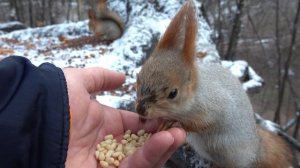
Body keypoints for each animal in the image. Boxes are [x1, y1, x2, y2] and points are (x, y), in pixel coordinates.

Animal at [136, 0, 298, 167]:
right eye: (138, 77)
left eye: (173, 93)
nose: (140, 110)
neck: (196, 93)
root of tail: (256, 150)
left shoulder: (214, 106)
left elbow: (203, 123)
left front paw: (175, 123)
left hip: (226, 149)